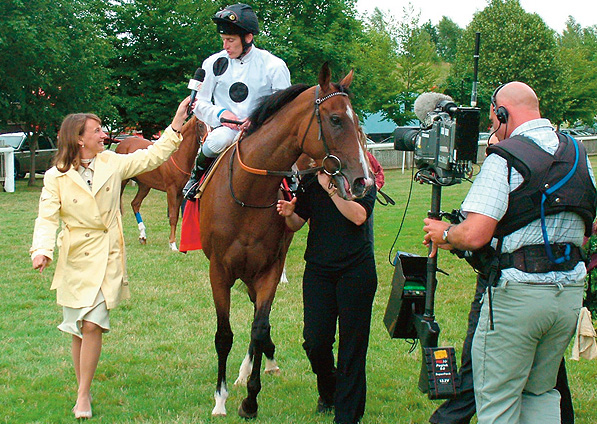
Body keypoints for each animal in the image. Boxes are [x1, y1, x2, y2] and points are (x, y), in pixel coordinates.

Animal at [116, 114, 207, 250]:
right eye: (200, 124)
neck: (178, 156)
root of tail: (122, 143)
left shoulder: (180, 192)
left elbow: (175, 216)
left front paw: (172, 243)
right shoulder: (171, 190)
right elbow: (173, 216)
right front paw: (173, 245)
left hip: (144, 185)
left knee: (135, 204)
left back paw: (143, 236)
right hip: (122, 182)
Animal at [198, 63, 370, 418]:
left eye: (357, 120)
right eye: (336, 119)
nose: (362, 180)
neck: (247, 196)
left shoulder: (269, 269)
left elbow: (259, 327)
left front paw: (251, 399)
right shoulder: (219, 271)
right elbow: (224, 334)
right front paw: (220, 398)